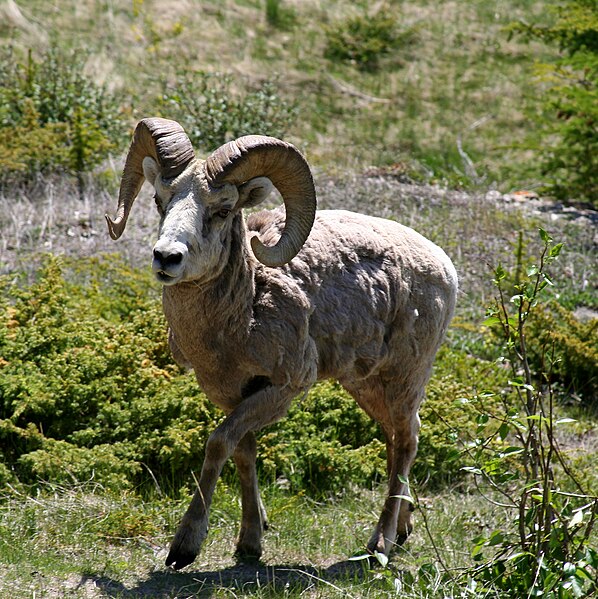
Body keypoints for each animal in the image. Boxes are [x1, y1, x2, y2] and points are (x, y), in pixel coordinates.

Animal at [106, 118, 460, 572]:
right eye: (159, 200)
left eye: (222, 211)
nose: (166, 258)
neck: (245, 309)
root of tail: (445, 267)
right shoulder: (232, 394)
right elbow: (243, 451)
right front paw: (249, 542)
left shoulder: (284, 387)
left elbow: (218, 443)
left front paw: (184, 547)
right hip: (366, 386)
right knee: (398, 438)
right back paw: (402, 529)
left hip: (403, 379)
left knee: (407, 441)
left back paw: (378, 545)